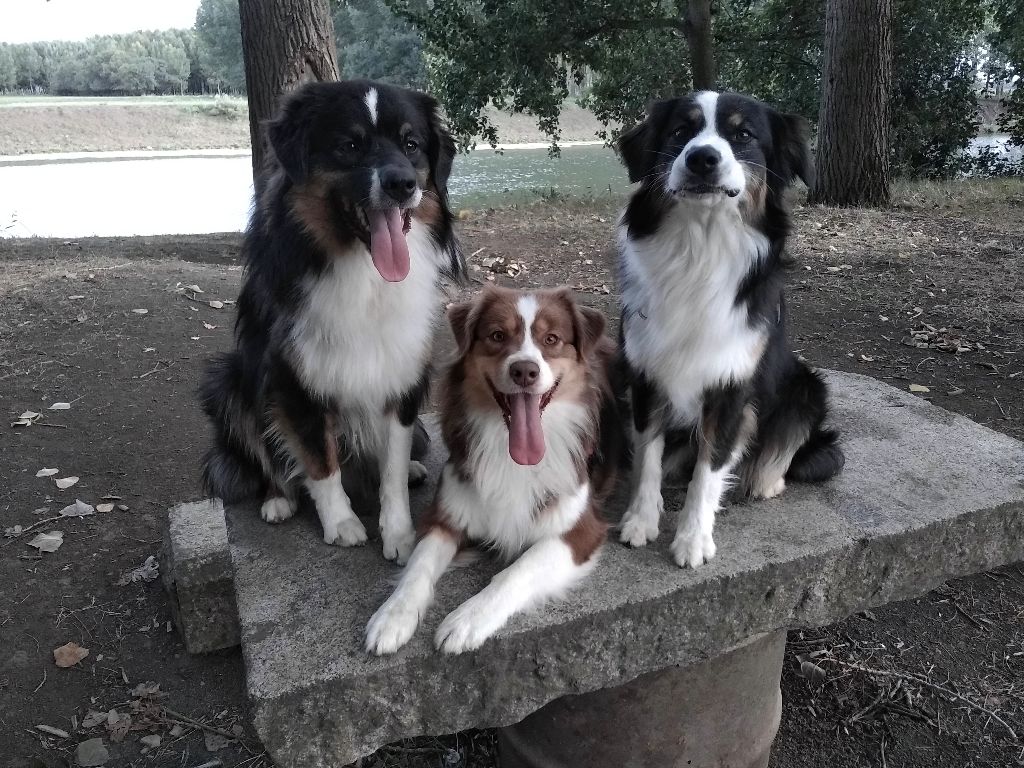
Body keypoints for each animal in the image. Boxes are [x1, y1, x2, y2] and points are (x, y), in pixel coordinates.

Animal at [200, 81, 464, 565]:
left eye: (411, 144)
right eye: (350, 146)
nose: (403, 184)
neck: (365, 272)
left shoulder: (401, 375)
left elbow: (391, 466)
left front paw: (398, 531)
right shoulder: (294, 380)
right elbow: (319, 460)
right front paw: (340, 523)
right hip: (227, 382)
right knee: (268, 454)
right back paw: (278, 499)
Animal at [368, 288, 622, 655]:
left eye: (552, 339)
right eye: (497, 336)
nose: (524, 371)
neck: (511, 451)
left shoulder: (580, 529)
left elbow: (518, 570)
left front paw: (466, 620)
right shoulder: (445, 516)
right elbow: (419, 566)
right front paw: (393, 616)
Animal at [610, 91, 843, 573]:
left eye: (744, 135)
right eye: (681, 130)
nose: (702, 158)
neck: (700, 249)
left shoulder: (732, 386)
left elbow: (709, 469)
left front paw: (692, 540)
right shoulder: (644, 377)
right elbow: (648, 456)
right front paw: (641, 520)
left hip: (808, 385)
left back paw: (767, 480)